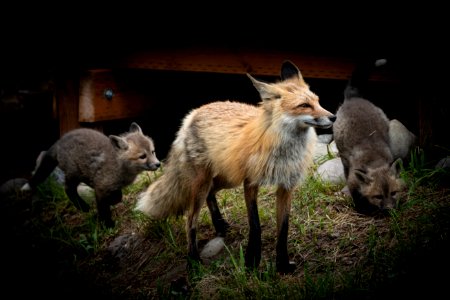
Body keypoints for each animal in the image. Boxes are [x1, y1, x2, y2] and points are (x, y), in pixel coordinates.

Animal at [135, 61, 336, 274]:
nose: (333, 117)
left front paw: (282, 265)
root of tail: (193, 113)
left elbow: (283, 230)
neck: (283, 151)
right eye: (304, 105)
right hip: (205, 182)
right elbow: (255, 225)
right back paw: (194, 261)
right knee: (190, 221)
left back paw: (220, 226)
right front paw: (252, 262)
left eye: (317, 102)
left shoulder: (286, 186)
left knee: (211, 193)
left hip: (227, 178)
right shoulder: (250, 182)